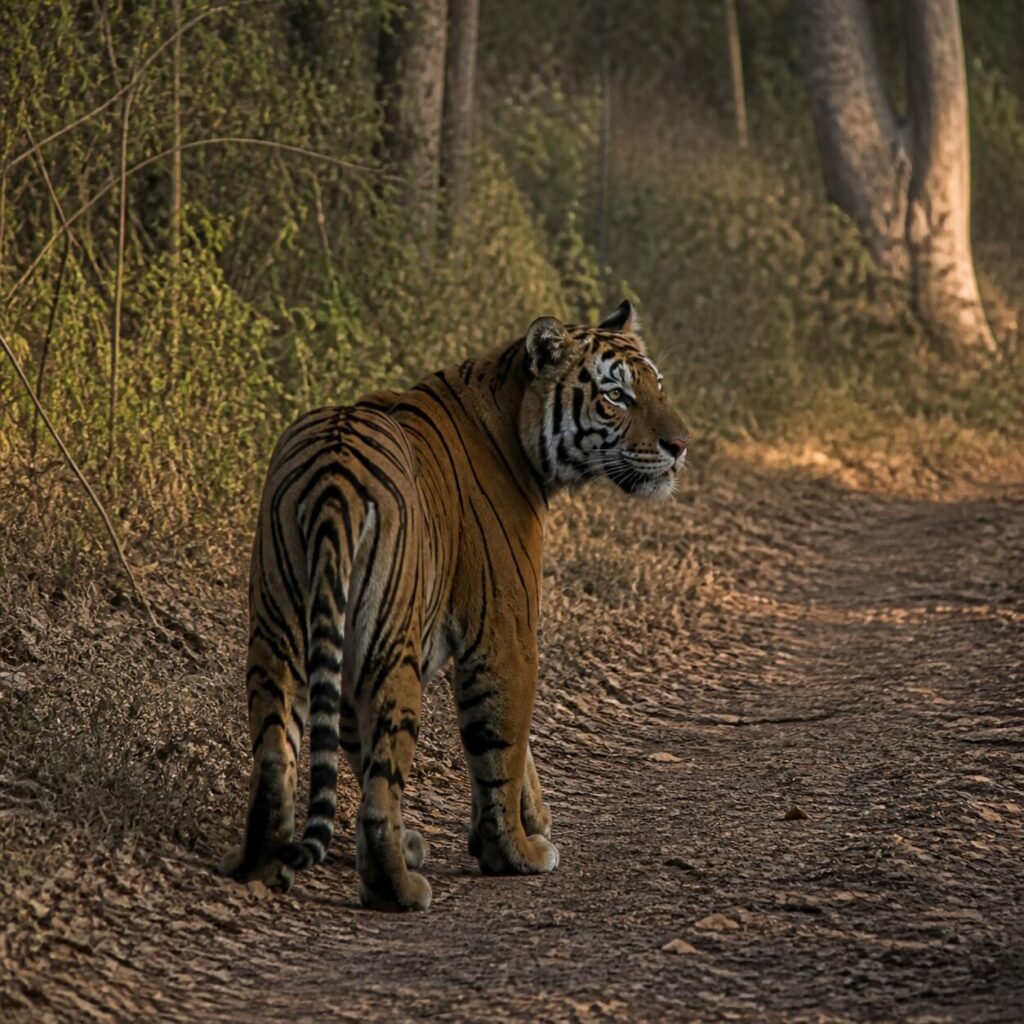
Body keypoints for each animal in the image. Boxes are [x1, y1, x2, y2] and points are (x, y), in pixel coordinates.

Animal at [219, 300, 689, 910]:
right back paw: (399, 889)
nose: (681, 446)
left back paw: (261, 863)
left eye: (658, 386)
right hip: (390, 650)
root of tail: (333, 477)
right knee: (381, 784)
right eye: (616, 396)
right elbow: (503, 746)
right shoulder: (506, 631)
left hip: (278, 633)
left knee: (277, 755)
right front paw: (515, 850)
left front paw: (527, 822)